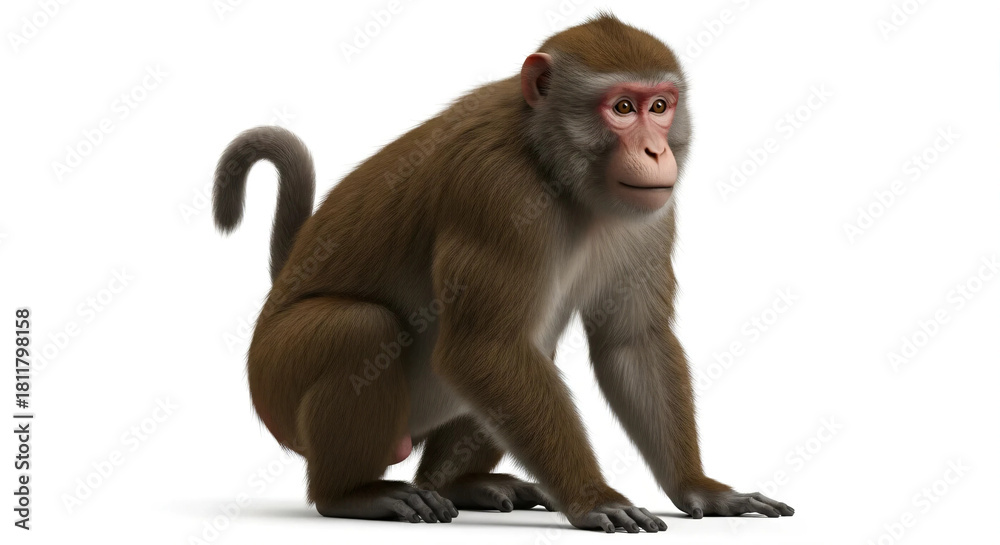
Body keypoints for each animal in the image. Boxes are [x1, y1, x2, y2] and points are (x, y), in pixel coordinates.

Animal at [213, 13, 794, 533]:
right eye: (623, 108)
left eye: (660, 105)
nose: (655, 151)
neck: (550, 161)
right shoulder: (497, 193)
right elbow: (485, 349)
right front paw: (593, 498)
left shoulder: (653, 214)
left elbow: (630, 343)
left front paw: (700, 488)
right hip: (274, 382)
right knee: (360, 329)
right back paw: (352, 493)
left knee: (532, 347)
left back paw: (457, 484)